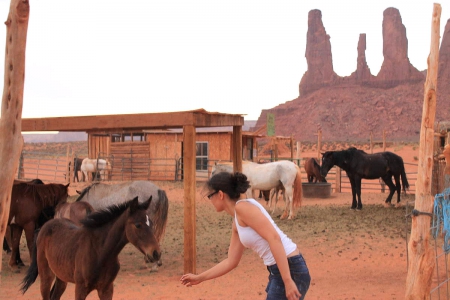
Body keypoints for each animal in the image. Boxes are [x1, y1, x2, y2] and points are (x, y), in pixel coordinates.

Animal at [21, 197, 162, 300]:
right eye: (138, 225)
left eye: (151, 223)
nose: (156, 253)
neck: (100, 253)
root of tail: (43, 227)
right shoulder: (80, 289)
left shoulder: (106, 289)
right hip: (46, 275)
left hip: (61, 277)